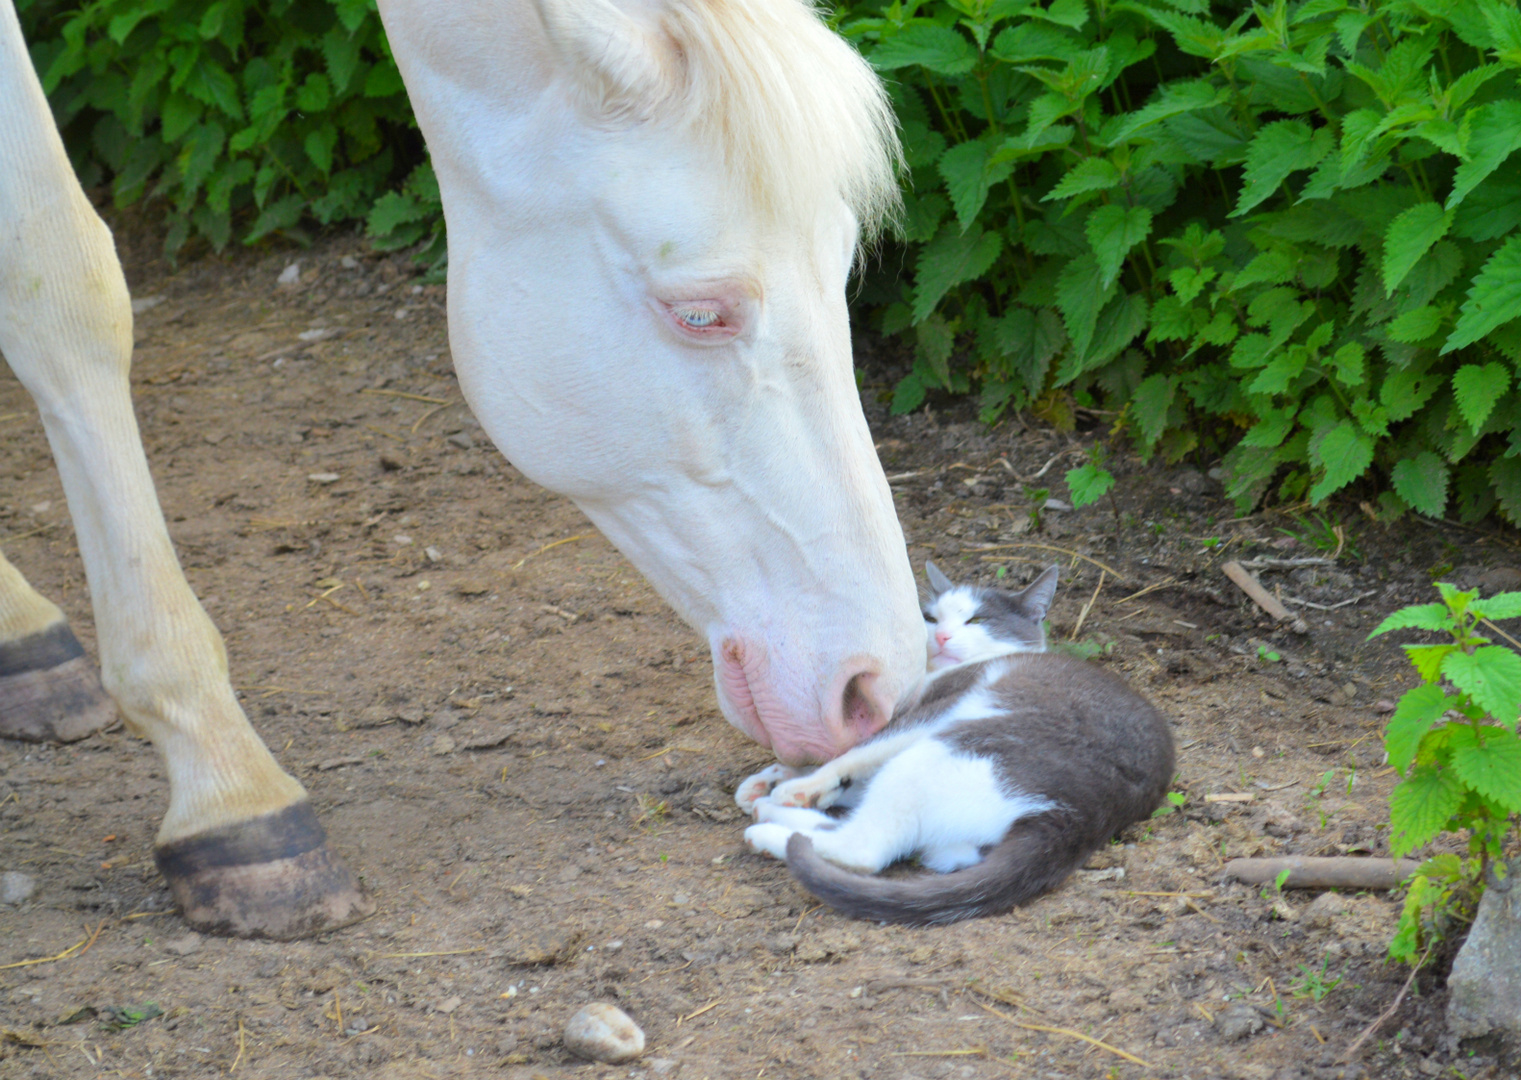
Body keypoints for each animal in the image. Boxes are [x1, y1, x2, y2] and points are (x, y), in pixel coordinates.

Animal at [736, 562, 1174, 924]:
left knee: (865, 849)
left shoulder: (943, 703)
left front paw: (798, 785)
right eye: (930, 617)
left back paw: (770, 828)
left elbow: (861, 749)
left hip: (950, 745)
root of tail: (1081, 816)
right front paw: (774, 778)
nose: (943, 636)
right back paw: (772, 809)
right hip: (956, 839)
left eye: (976, 619)